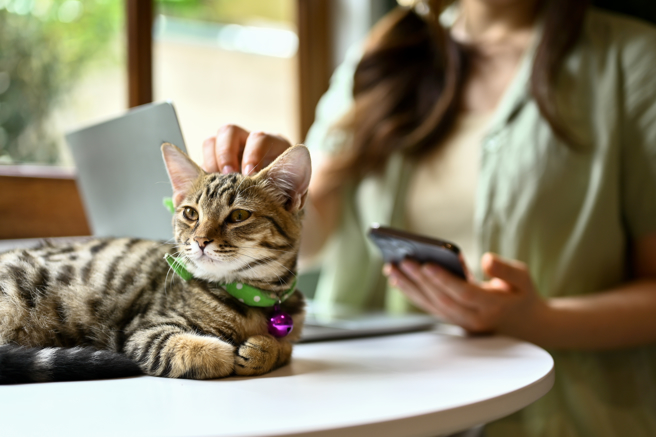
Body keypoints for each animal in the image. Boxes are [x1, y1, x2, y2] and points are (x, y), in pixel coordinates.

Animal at [0, 142, 310, 382]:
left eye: (238, 216)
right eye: (190, 213)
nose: (200, 240)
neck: (251, 296)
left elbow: (288, 346)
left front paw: (266, 349)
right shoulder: (143, 332)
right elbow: (194, 350)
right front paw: (228, 351)